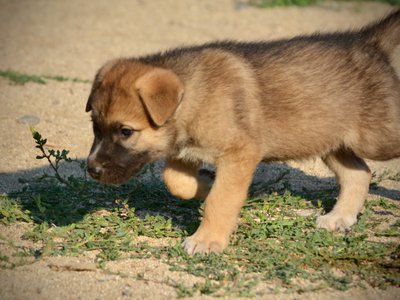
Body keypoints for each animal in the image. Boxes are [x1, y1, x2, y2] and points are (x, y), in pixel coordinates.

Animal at [86, 11, 400, 255]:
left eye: (126, 131)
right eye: (95, 127)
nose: (91, 170)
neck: (194, 95)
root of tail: (368, 43)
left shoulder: (239, 152)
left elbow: (220, 200)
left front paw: (206, 240)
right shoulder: (185, 152)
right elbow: (177, 182)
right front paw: (206, 184)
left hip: (376, 138)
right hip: (329, 139)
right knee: (359, 174)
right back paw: (339, 217)